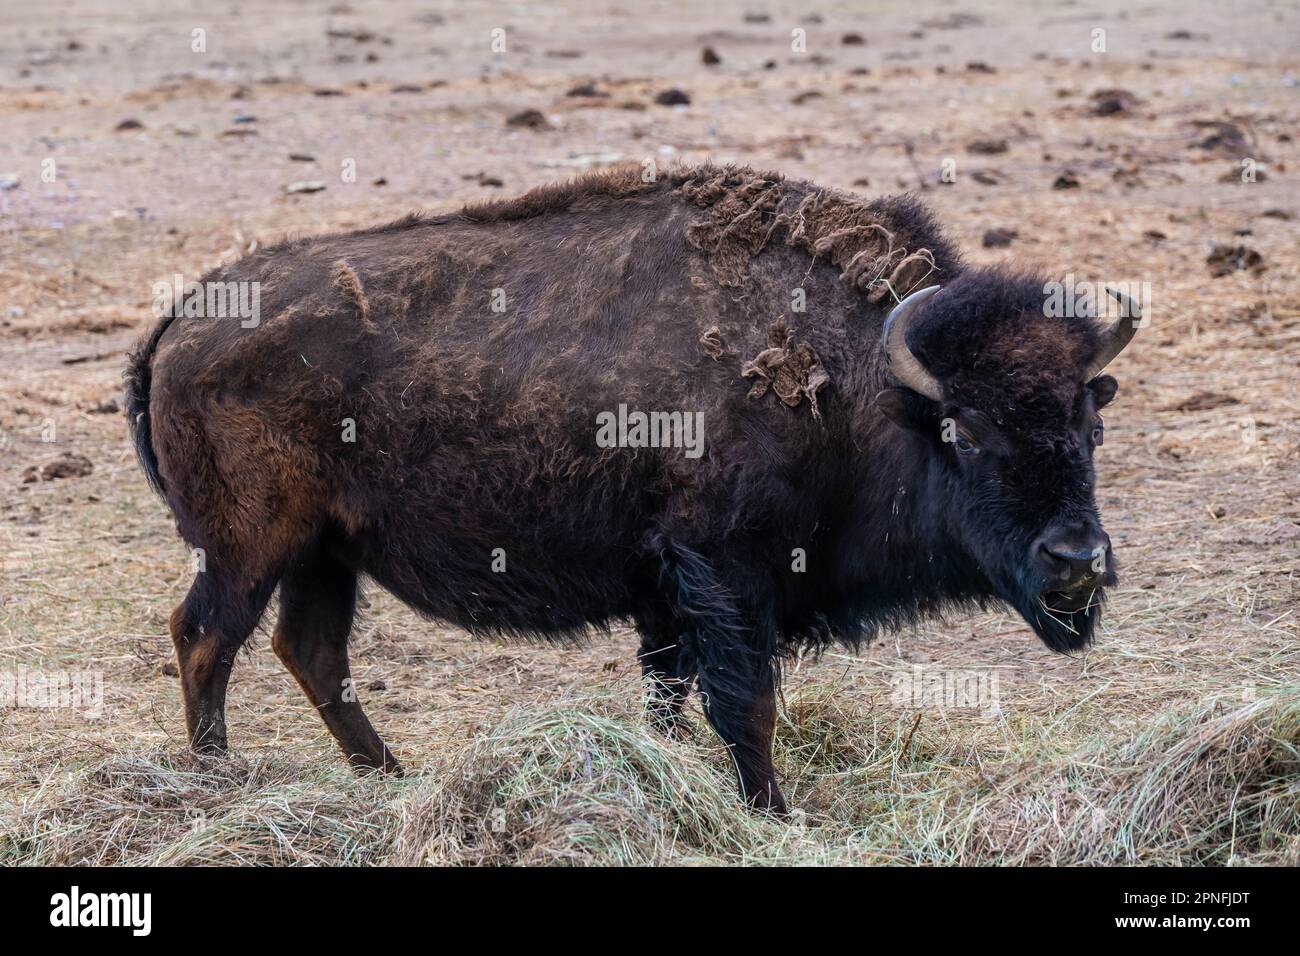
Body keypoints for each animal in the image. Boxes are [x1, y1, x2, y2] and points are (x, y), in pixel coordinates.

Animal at [125, 164, 1140, 814]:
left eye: (1089, 426)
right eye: (966, 431)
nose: (1077, 560)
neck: (858, 383)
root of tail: (183, 315)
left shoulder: (664, 588)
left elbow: (668, 691)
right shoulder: (725, 575)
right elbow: (744, 701)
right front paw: (773, 812)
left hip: (325, 553)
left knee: (309, 650)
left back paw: (391, 776)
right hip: (249, 546)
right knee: (207, 635)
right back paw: (216, 778)